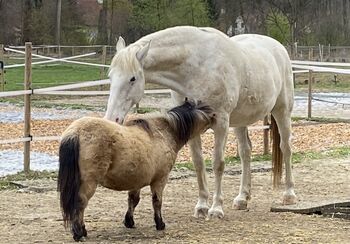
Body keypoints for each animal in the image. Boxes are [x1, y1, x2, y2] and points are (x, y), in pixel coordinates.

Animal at [56, 100, 213, 240]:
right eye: (202, 108)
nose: (214, 115)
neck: (163, 133)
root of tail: (75, 132)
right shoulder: (160, 180)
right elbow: (157, 201)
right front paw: (160, 224)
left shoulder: (137, 180)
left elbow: (133, 200)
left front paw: (129, 221)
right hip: (89, 183)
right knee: (80, 203)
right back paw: (79, 232)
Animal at [104, 25, 296, 218]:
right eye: (111, 76)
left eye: (132, 78)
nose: (112, 119)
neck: (197, 67)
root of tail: (278, 48)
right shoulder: (192, 125)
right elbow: (198, 163)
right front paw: (202, 206)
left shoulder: (221, 123)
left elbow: (218, 164)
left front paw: (216, 208)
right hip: (241, 121)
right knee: (245, 152)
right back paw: (242, 198)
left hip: (282, 111)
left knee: (285, 148)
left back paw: (289, 195)